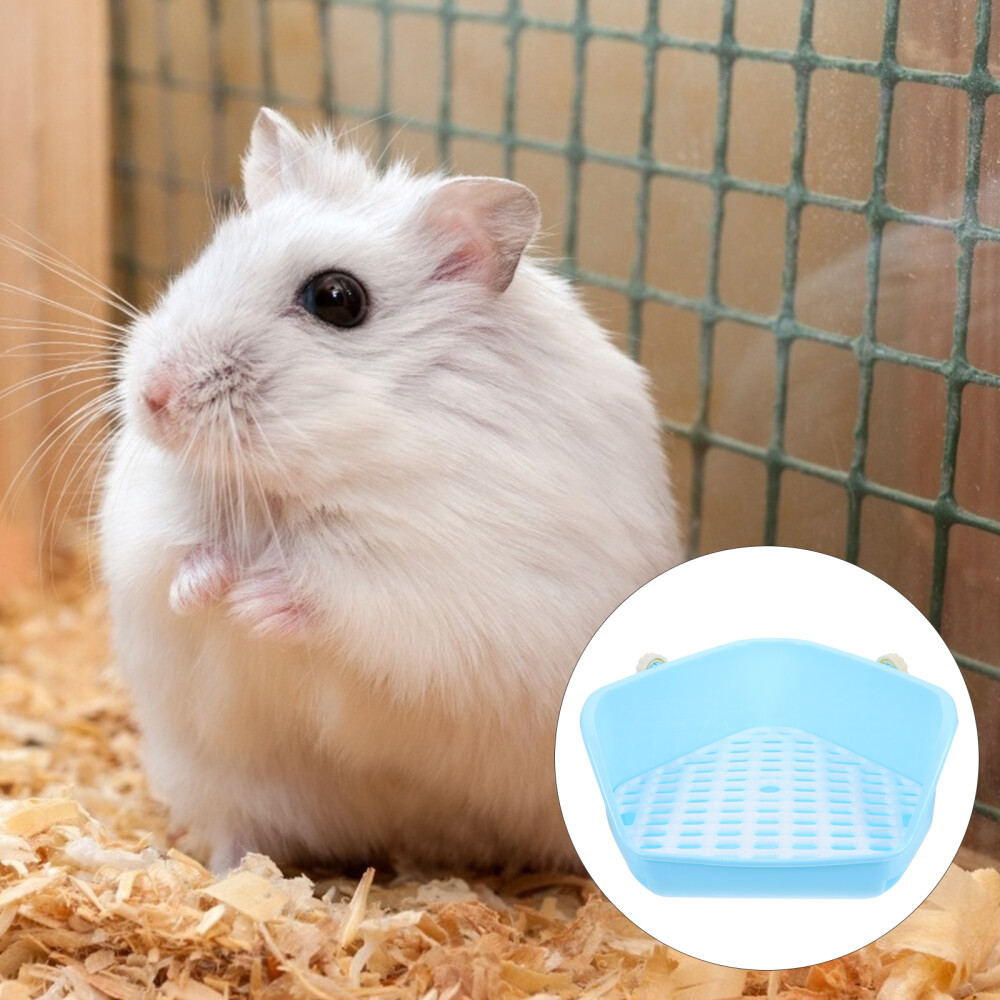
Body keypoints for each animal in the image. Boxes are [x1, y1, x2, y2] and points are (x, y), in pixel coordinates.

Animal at [99, 108, 682, 873]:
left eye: (337, 299)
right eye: (212, 255)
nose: (153, 397)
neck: (297, 483)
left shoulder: (437, 584)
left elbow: (347, 592)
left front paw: (253, 603)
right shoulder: (149, 526)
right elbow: (176, 559)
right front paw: (209, 591)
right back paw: (223, 874)